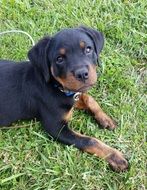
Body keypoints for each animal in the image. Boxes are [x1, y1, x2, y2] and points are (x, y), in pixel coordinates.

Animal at [0, 26, 128, 171]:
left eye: (88, 49)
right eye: (59, 59)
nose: (82, 74)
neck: (56, 86)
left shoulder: (72, 97)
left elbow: (89, 98)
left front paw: (105, 119)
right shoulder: (56, 128)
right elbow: (89, 140)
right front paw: (115, 156)